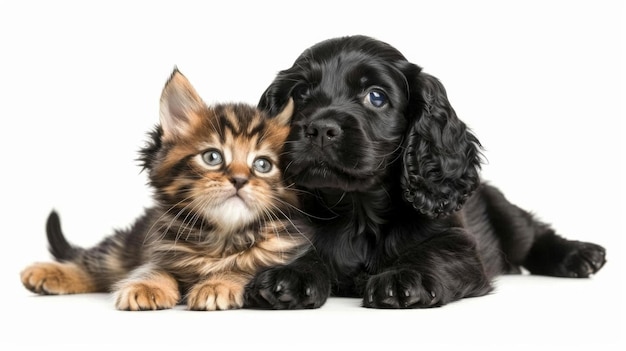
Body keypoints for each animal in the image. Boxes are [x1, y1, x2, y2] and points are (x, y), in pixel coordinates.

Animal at [21, 69, 310, 310]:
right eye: (212, 157)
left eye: (263, 164)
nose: (239, 180)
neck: (222, 238)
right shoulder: (157, 251)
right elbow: (151, 269)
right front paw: (147, 286)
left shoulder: (282, 254)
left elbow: (246, 268)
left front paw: (218, 283)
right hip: (126, 245)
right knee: (99, 264)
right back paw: (47, 273)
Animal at [244, 35, 604, 310]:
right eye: (300, 93)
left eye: (376, 97)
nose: (319, 129)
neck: (357, 211)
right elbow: (299, 248)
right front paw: (289, 275)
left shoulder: (458, 243)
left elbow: (433, 254)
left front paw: (405, 278)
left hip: (505, 215)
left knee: (534, 232)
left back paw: (580, 255)